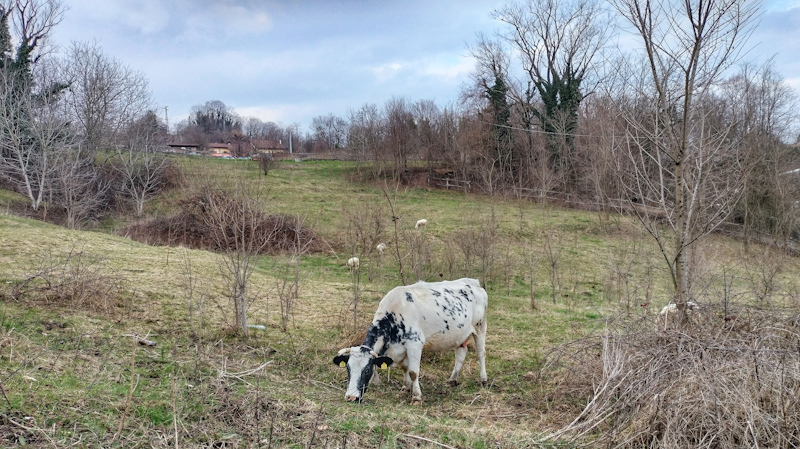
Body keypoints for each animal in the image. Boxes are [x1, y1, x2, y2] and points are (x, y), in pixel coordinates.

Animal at [332, 276, 488, 402]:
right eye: (348, 369)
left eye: (366, 370)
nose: (351, 397)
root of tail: (474, 282)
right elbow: (405, 368)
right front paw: (405, 388)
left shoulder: (415, 344)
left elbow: (413, 372)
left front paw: (416, 396)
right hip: (460, 334)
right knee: (461, 353)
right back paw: (452, 379)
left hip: (480, 327)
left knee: (481, 353)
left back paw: (483, 379)